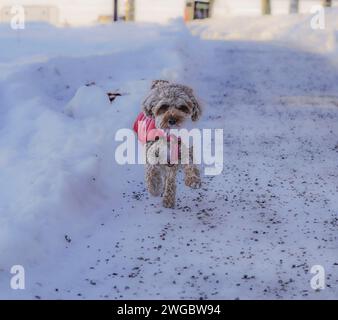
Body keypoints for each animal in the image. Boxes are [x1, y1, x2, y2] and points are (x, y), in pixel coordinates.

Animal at [133, 80, 202, 208]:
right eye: (163, 107)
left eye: (182, 107)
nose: (172, 120)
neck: (170, 135)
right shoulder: (152, 152)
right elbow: (152, 171)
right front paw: (155, 187)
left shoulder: (179, 153)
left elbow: (185, 167)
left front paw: (193, 179)